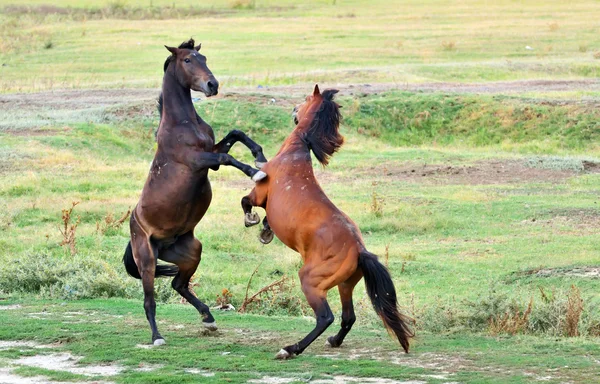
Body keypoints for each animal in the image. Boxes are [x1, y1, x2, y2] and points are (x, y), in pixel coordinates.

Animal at [123, 40, 266, 346]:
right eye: (188, 60)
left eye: (204, 57)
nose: (213, 85)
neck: (183, 124)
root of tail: (133, 230)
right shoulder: (197, 160)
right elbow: (227, 158)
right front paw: (256, 172)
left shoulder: (210, 155)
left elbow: (235, 134)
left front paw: (260, 157)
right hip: (147, 260)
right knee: (149, 301)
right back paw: (157, 337)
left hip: (190, 252)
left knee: (178, 283)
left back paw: (208, 318)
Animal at [241, 85, 414, 358]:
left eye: (304, 99)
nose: (293, 109)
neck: (297, 150)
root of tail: (359, 250)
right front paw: (266, 231)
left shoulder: (259, 193)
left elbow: (246, 201)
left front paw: (252, 220)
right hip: (345, 285)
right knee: (348, 317)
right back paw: (333, 341)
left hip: (311, 282)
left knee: (326, 317)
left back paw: (291, 349)